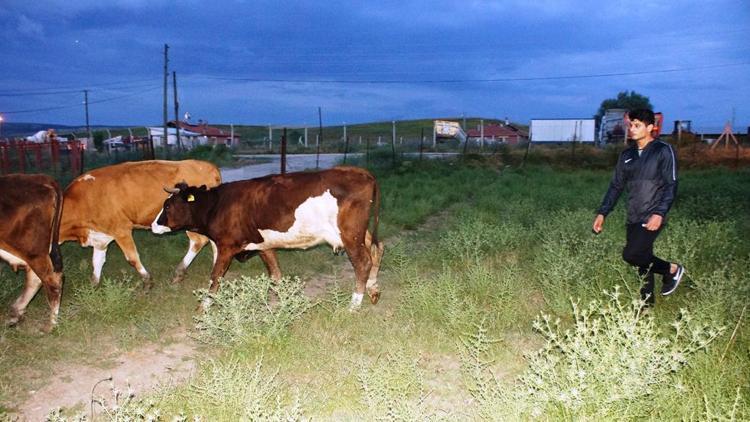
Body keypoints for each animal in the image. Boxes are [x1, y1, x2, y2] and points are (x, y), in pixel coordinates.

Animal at [0, 173, 64, 332]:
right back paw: (15, 313)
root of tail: (39, 178)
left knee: (52, 281)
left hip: (33, 250)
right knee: (36, 278)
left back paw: (51, 325)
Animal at [62, 160, 222, 288]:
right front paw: (92, 287)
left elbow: (132, 258)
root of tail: (210, 167)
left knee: (199, 241)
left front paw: (147, 281)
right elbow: (97, 261)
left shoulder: (121, 230)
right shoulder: (100, 236)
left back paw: (180, 273)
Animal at [153, 166, 388, 310]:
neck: (217, 205)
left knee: (363, 262)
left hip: (350, 235)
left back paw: (354, 305)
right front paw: (281, 300)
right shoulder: (262, 244)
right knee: (377, 248)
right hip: (359, 233)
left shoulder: (226, 246)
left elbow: (215, 276)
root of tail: (360, 172)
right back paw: (373, 289)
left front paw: (203, 306)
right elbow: (275, 274)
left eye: (168, 205)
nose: (154, 225)